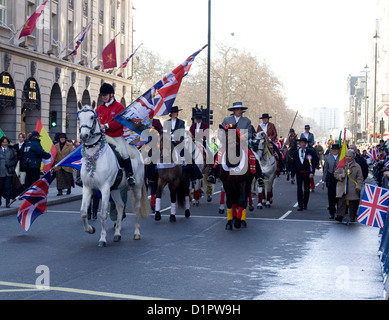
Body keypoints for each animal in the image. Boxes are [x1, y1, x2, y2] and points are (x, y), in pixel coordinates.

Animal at [77, 102, 149, 248]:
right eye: (79, 118)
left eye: (92, 117)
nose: (83, 136)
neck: (94, 157)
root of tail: (137, 150)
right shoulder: (88, 187)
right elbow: (83, 212)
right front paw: (90, 229)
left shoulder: (104, 188)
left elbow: (103, 215)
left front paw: (102, 239)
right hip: (114, 189)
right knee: (120, 206)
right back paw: (117, 234)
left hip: (136, 187)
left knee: (137, 208)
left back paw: (136, 233)